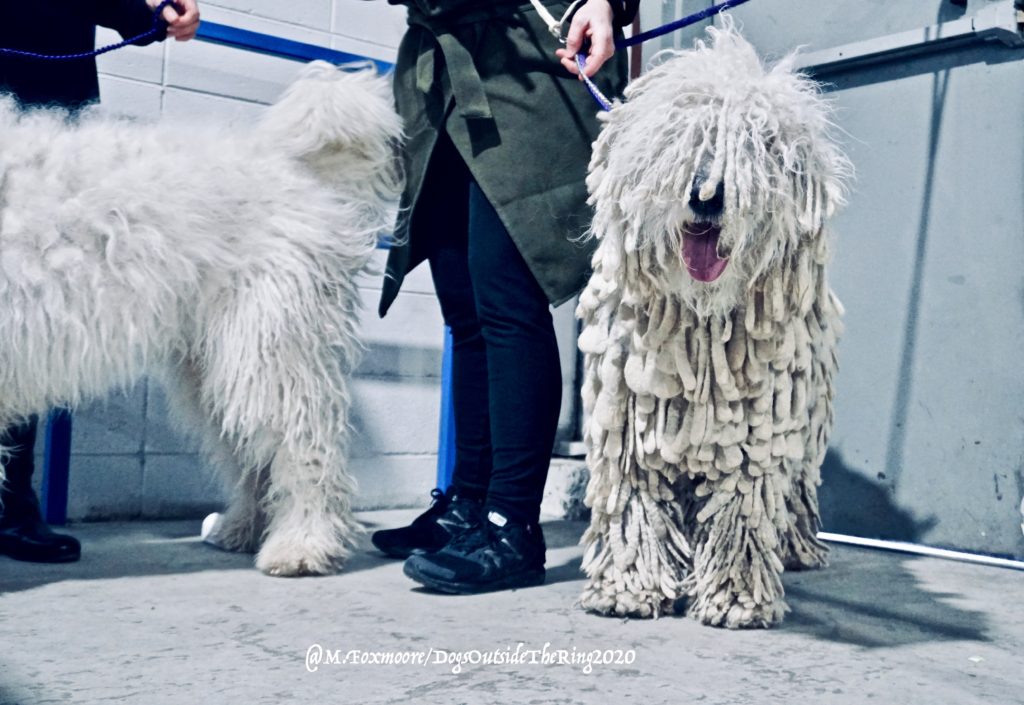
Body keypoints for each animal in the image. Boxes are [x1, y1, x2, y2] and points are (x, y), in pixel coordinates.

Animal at [0, 60, 401, 577]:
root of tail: (290, 168)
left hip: (269, 349)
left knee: (304, 445)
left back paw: (303, 545)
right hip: (215, 366)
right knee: (252, 452)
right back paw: (245, 529)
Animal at [577, 26, 847, 627]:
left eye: (760, 143)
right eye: (680, 135)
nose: (707, 194)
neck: (698, 320)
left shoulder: (753, 427)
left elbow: (742, 508)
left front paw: (736, 596)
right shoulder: (628, 413)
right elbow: (634, 498)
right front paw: (629, 587)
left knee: (797, 489)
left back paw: (799, 548)